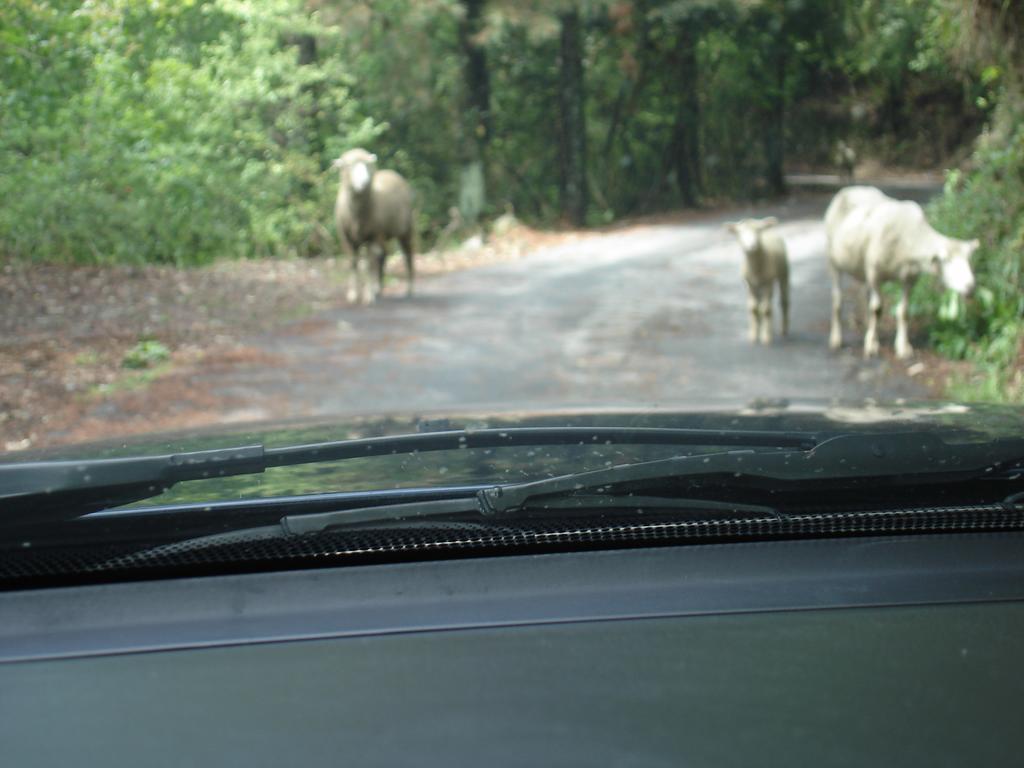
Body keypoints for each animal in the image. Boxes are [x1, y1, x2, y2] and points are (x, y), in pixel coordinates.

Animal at [333, 148, 417, 305]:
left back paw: (410, 289)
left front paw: (368, 295)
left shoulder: (372, 236)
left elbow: (369, 264)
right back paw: (379, 288)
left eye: (368, 164)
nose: (365, 182)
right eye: (348, 166)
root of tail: (391, 172)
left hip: (405, 228)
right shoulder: (346, 238)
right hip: (383, 234)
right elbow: (353, 262)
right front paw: (353, 294)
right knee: (383, 256)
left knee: (407, 254)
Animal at [724, 218, 786, 348]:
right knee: (759, 306)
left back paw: (783, 330)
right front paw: (753, 335)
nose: (751, 246)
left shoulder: (768, 282)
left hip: (783, 272)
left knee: (783, 301)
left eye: (758, 230)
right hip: (758, 287)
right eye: (739, 232)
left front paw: (766, 338)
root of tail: (769, 231)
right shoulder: (750, 284)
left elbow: (766, 310)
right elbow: (753, 308)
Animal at [823, 191, 974, 362]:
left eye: (968, 261)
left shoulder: (909, 278)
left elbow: (904, 311)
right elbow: (877, 309)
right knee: (837, 299)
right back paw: (836, 338)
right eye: (947, 261)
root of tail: (849, 190)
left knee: (865, 297)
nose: (971, 286)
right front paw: (871, 346)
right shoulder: (874, 273)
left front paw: (902, 347)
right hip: (833, 261)